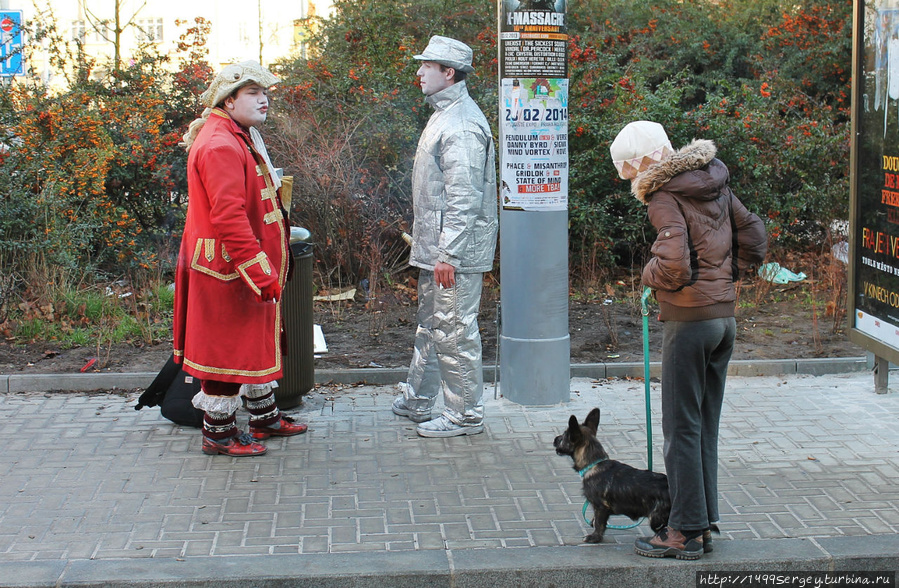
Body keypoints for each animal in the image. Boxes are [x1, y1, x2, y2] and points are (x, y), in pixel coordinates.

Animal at [552, 408, 672, 544]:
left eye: (563, 436)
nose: (555, 439)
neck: (594, 463)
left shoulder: (600, 507)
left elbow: (599, 524)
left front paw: (594, 537)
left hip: (656, 518)